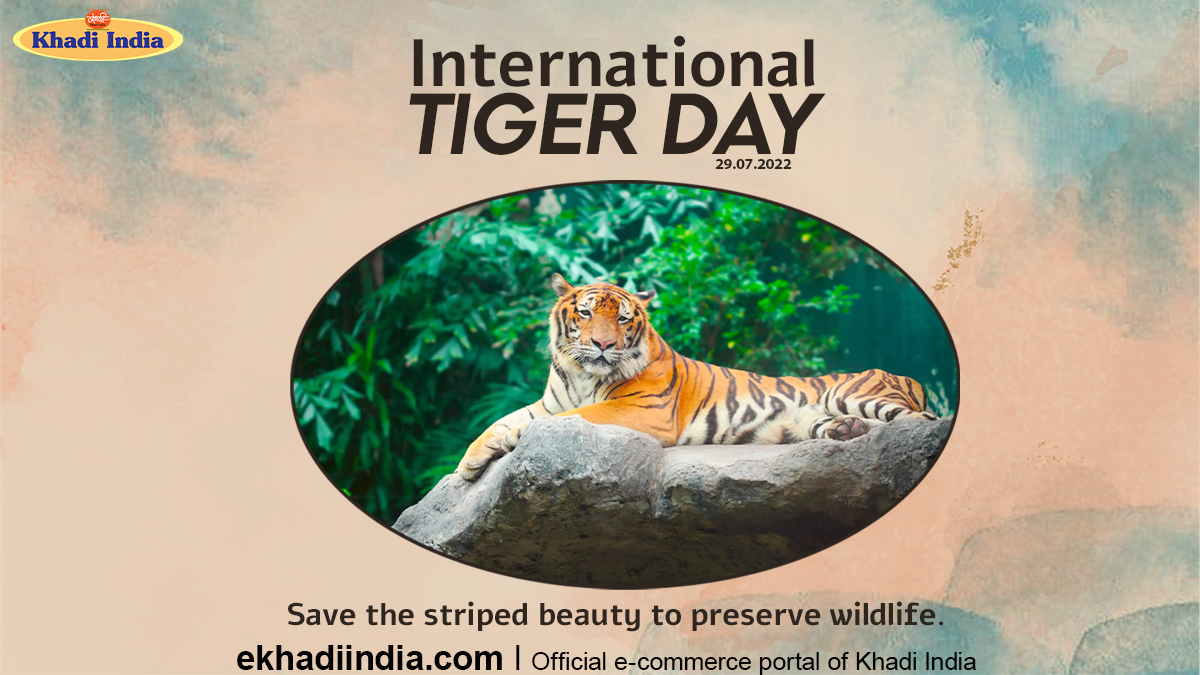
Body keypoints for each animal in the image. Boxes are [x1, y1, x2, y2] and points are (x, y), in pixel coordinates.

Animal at [455, 273, 938, 481]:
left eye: (623, 319)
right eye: (587, 313)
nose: (603, 345)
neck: (581, 375)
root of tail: (907, 376)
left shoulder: (642, 410)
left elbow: (578, 417)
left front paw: (516, 441)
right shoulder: (548, 402)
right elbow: (497, 422)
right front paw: (470, 464)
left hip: (851, 391)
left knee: (921, 424)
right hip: (812, 419)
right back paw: (848, 432)